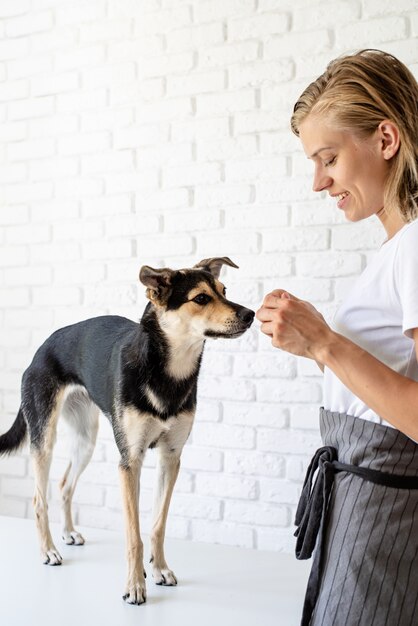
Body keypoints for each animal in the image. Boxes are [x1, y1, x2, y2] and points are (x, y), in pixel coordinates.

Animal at [0, 256, 255, 604]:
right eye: (201, 298)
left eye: (224, 290)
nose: (251, 314)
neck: (168, 372)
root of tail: (41, 349)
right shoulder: (130, 461)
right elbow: (134, 535)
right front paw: (135, 586)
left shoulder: (170, 457)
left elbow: (158, 524)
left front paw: (160, 570)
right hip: (44, 436)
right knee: (40, 499)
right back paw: (49, 550)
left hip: (86, 440)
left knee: (65, 484)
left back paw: (68, 533)